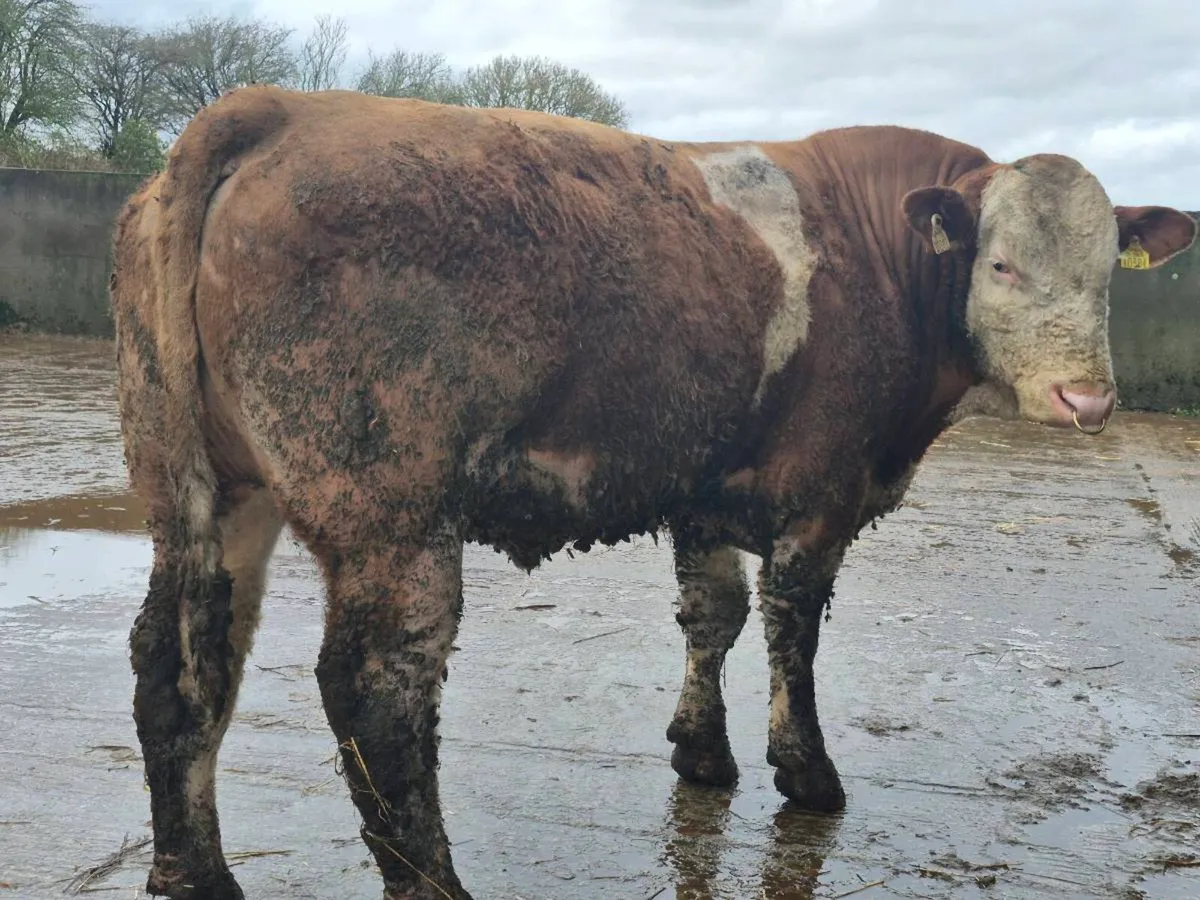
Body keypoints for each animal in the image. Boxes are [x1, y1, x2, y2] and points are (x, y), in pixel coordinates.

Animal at [108, 84, 1195, 900]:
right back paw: (434, 883)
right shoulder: (821, 491)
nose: (1088, 398)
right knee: (374, 691)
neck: (880, 260)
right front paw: (806, 771)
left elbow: (711, 616)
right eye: (1000, 264)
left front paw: (702, 754)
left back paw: (196, 875)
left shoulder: (702, 486)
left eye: (1109, 274)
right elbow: (791, 629)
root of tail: (275, 107)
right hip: (389, 513)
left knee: (182, 662)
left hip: (206, 491)